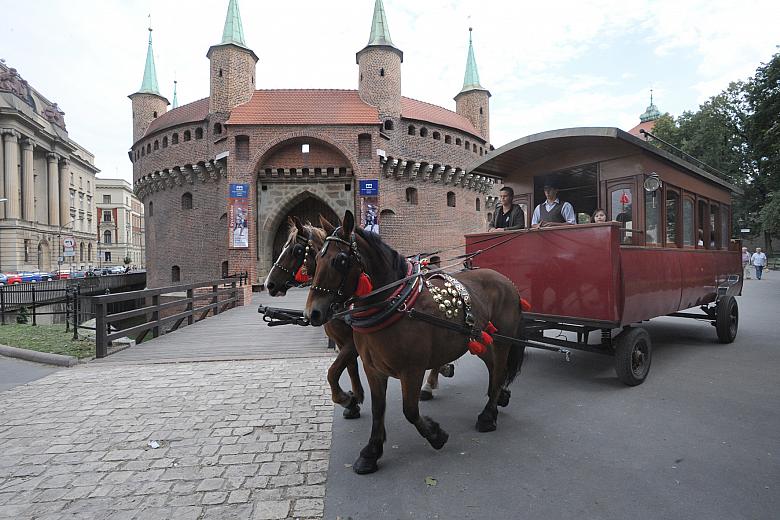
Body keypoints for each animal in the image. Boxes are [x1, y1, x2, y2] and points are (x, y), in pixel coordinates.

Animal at [304, 209, 524, 474]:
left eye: (341, 260)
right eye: (317, 257)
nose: (313, 313)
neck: (396, 305)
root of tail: (506, 281)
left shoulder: (412, 370)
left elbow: (409, 410)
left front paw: (436, 435)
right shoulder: (372, 368)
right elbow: (378, 408)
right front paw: (371, 452)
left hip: (502, 341)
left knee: (499, 369)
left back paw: (488, 415)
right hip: (480, 340)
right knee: (493, 369)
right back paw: (498, 397)